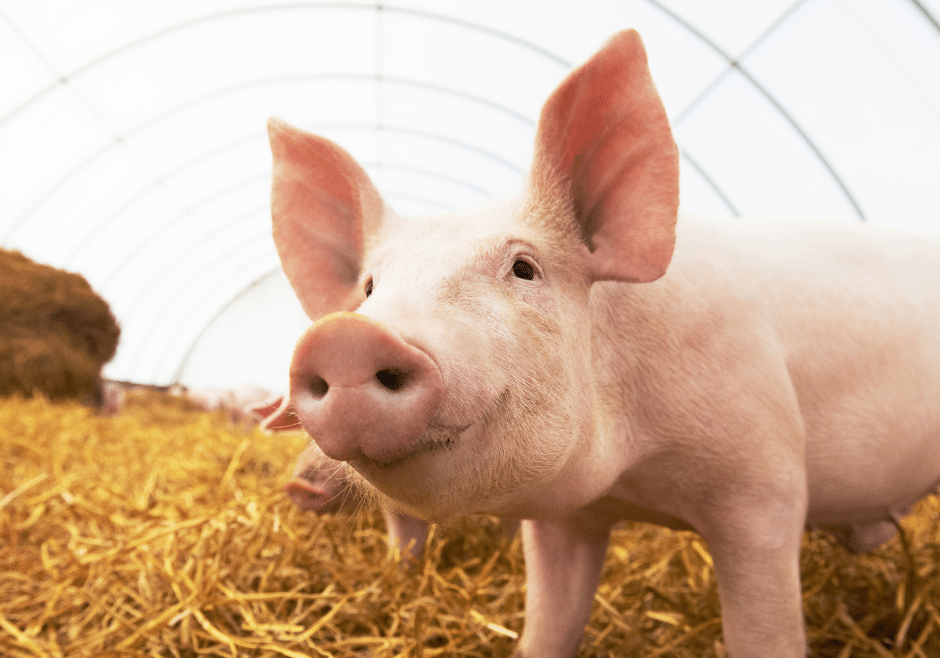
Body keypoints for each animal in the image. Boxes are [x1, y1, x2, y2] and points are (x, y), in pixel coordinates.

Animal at [268, 30, 940, 658]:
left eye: (524, 268)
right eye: (369, 287)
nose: (345, 336)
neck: (637, 477)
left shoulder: (765, 482)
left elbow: (763, 632)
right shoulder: (563, 518)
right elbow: (548, 627)